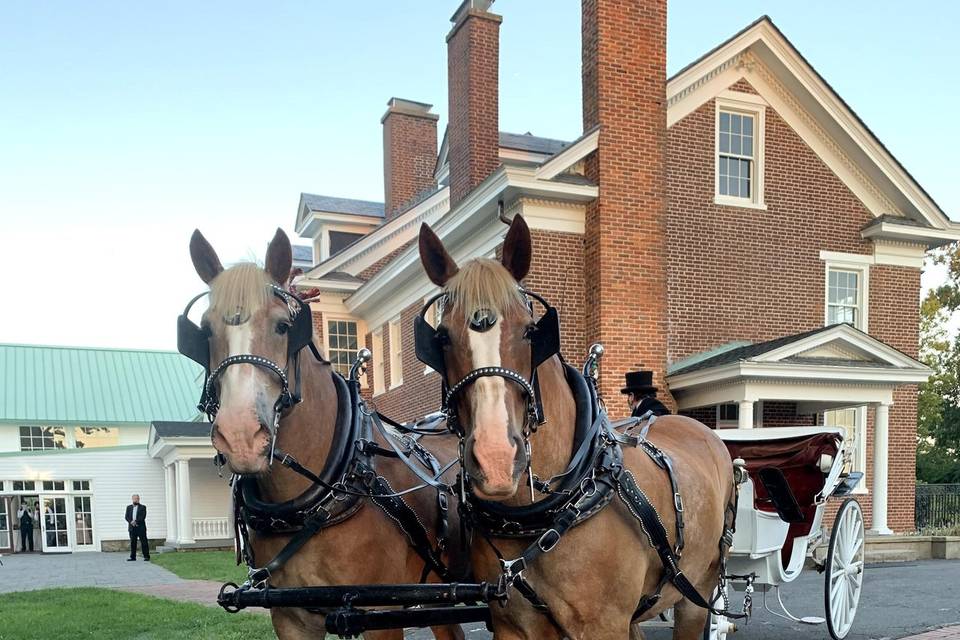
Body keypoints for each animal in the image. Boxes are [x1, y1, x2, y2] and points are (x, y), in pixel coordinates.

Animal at [416, 216, 740, 640]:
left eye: (530, 330)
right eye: (440, 337)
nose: (496, 459)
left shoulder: (603, 625)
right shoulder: (511, 625)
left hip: (697, 591)